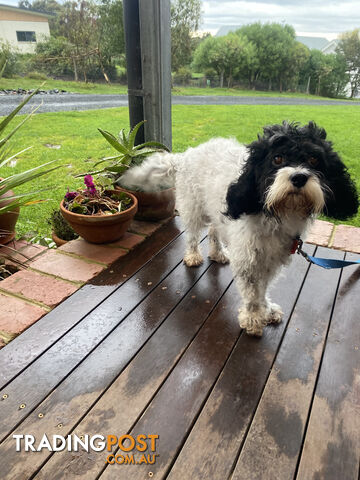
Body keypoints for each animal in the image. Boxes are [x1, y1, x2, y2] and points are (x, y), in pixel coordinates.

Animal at [120, 122, 358, 336]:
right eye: (277, 158)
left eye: (314, 159)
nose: (299, 177)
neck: (276, 213)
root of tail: (187, 155)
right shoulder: (248, 259)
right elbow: (252, 293)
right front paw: (253, 318)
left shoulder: (271, 259)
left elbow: (263, 288)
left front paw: (267, 309)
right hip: (194, 208)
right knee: (192, 235)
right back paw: (193, 255)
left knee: (214, 231)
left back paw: (217, 253)